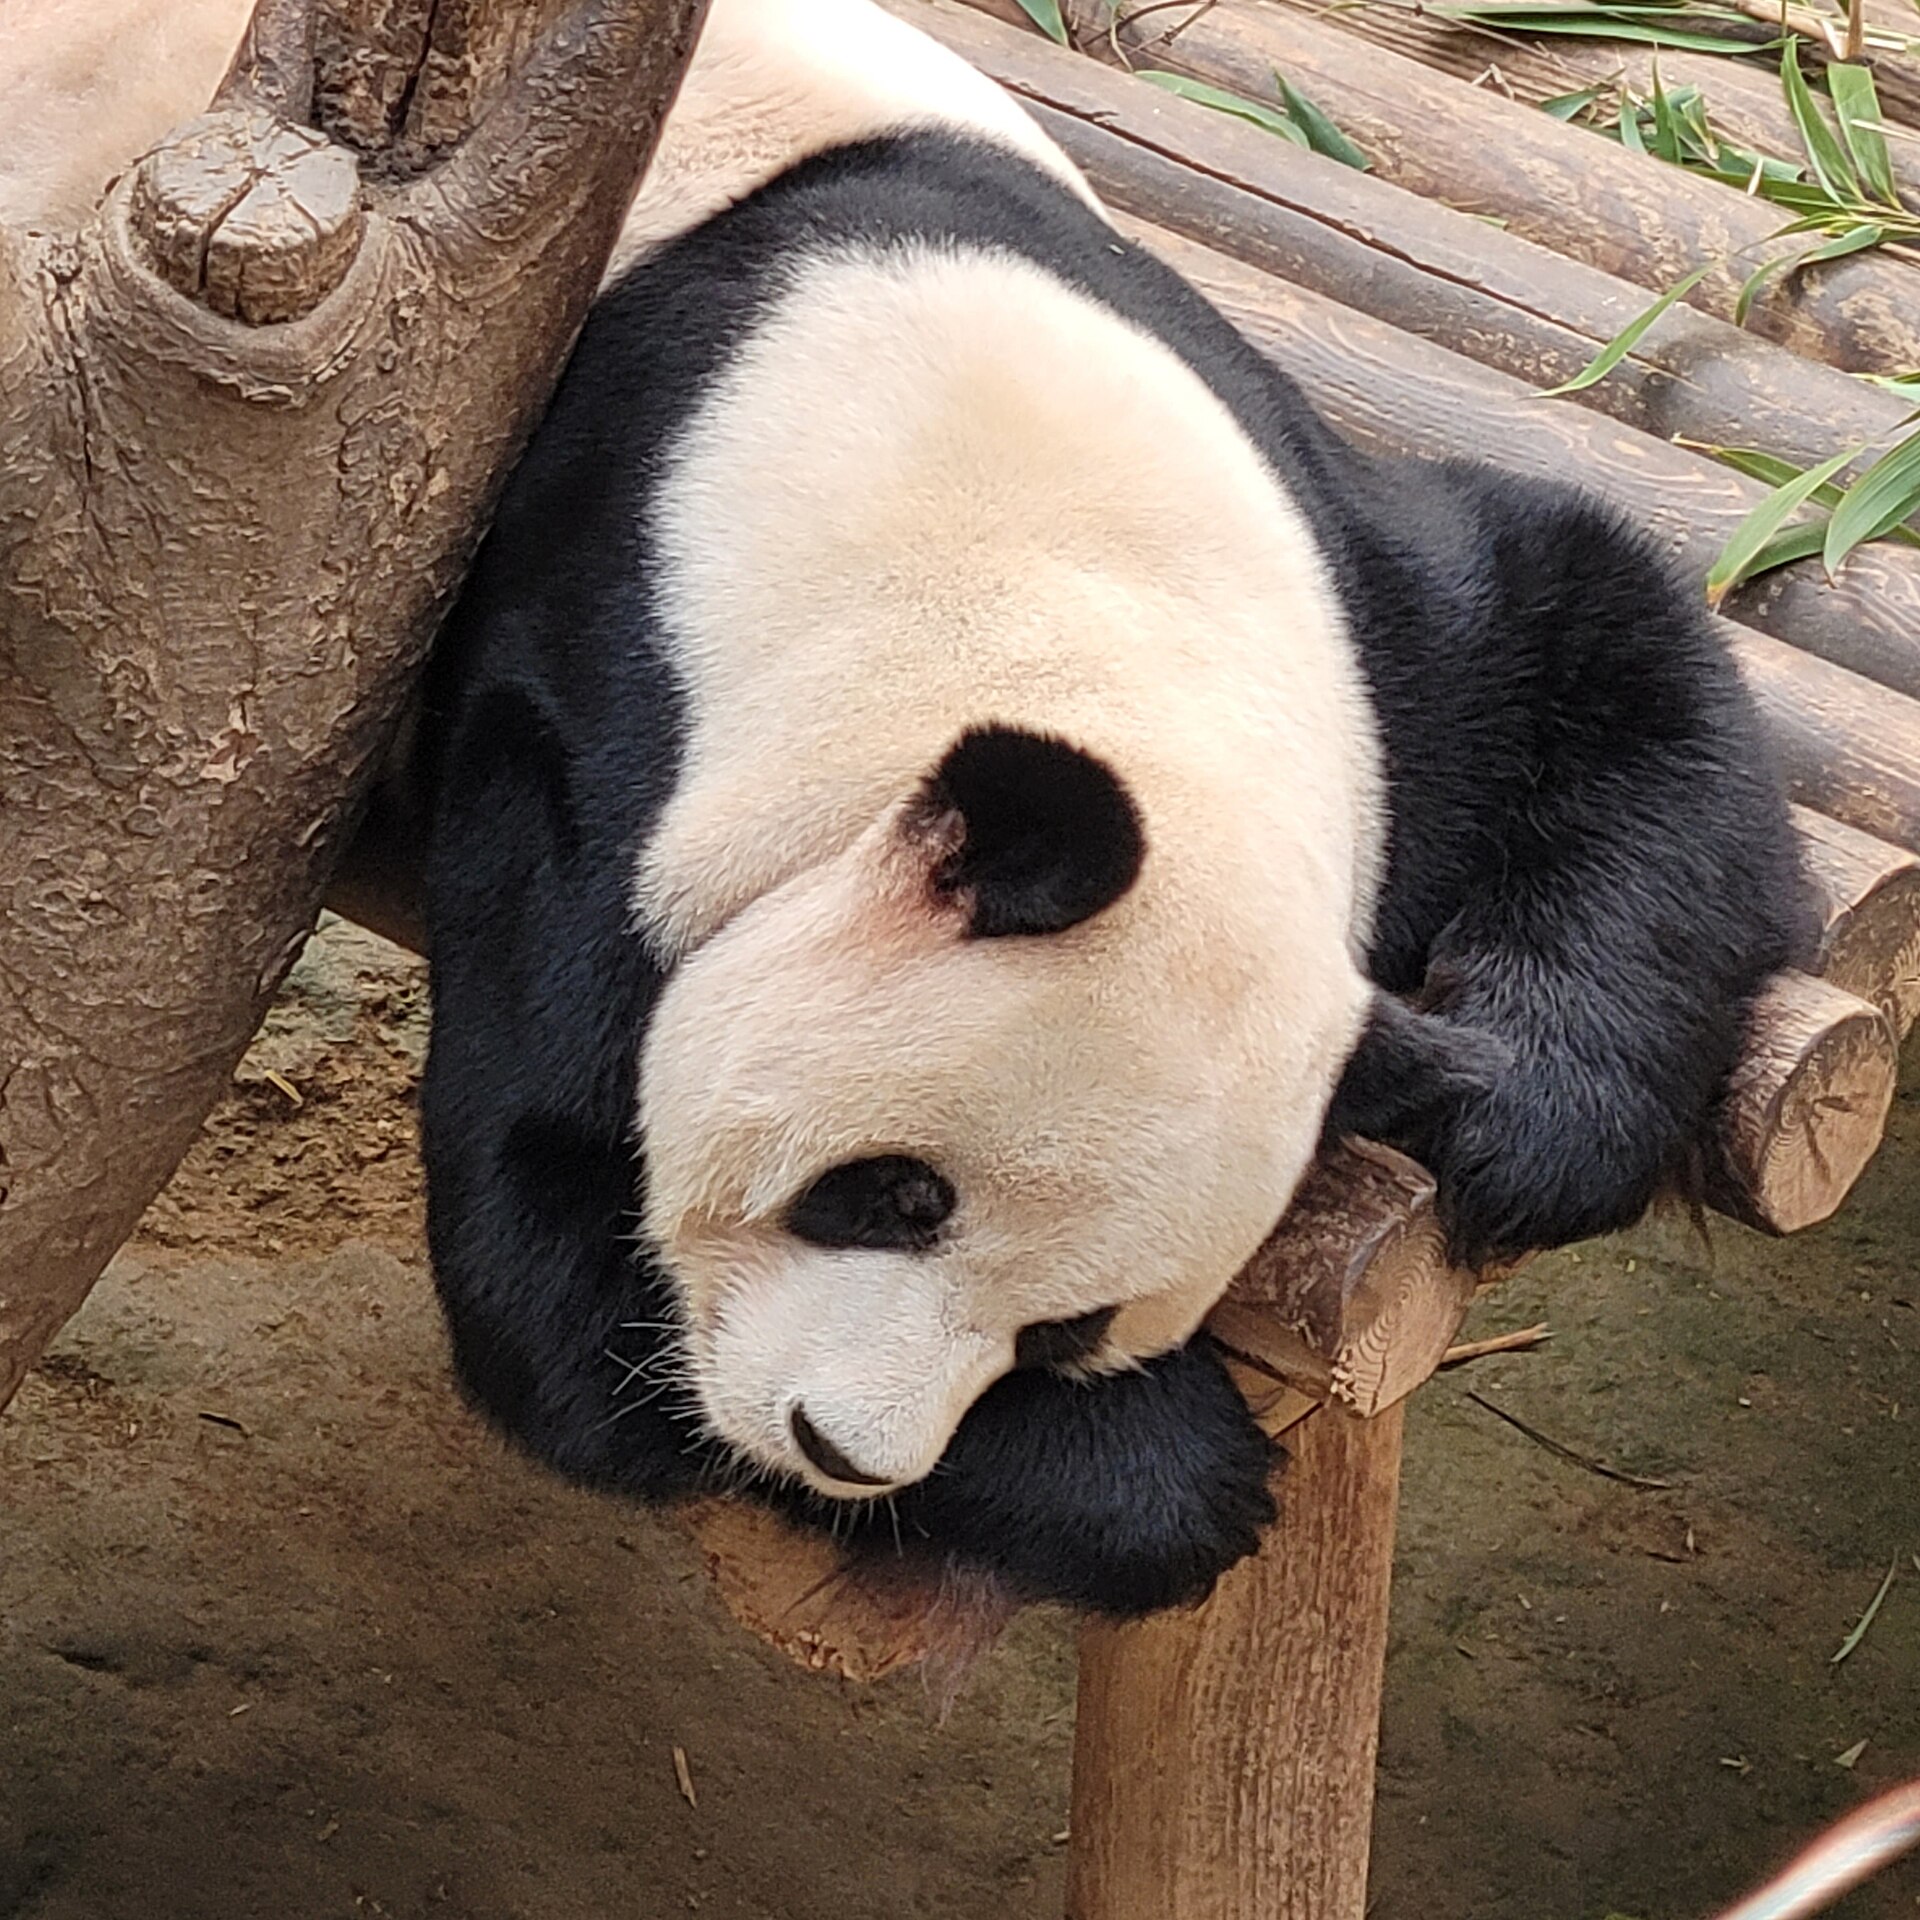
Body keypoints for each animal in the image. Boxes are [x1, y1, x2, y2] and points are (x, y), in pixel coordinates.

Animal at [4, 0, 1804, 1616]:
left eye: (1068, 1331)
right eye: (887, 1194)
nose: (839, 1450)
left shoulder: (1355, 617)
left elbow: (1598, 621)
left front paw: (1524, 1115)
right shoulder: (591, 739)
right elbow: (556, 1256)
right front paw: (1175, 1480)